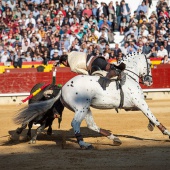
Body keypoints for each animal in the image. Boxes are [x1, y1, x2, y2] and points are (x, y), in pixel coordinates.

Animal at [14, 52, 170, 148]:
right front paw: (166, 132)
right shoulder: (139, 102)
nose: (150, 81)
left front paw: (151, 126)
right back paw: (83, 144)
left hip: (86, 108)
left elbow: (148, 115)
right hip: (81, 108)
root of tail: (62, 88)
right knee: (76, 123)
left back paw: (114, 139)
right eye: (150, 64)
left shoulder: (131, 105)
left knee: (91, 125)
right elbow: (152, 115)